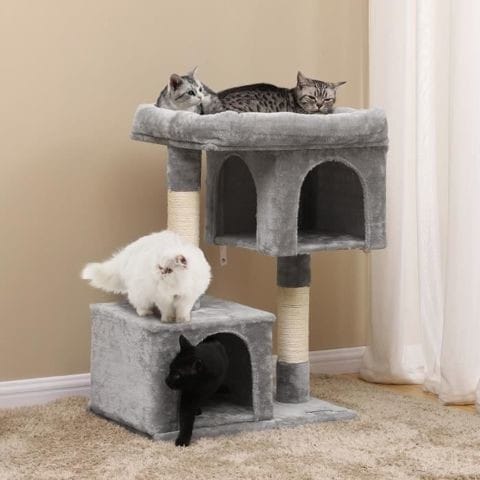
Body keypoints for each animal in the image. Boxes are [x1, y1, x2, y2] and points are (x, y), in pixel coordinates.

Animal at [81, 230, 211, 322]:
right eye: (160, 267)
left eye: (169, 270)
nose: (161, 274)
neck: (177, 284)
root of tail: (125, 255)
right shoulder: (161, 297)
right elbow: (167, 310)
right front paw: (168, 320)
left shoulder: (187, 297)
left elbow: (182, 310)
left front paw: (182, 321)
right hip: (140, 293)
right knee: (138, 304)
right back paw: (145, 313)